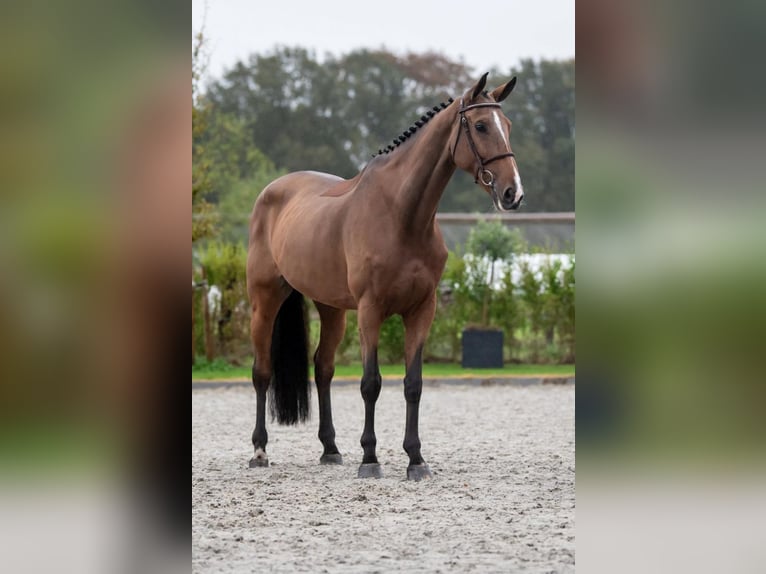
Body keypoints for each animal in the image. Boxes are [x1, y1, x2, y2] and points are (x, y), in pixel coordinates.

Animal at [249, 74, 524, 484]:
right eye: (480, 126)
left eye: (507, 126)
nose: (513, 193)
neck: (401, 215)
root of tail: (272, 190)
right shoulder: (370, 310)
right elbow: (371, 383)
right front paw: (370, 458)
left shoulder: (422, 310)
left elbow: (413, 384)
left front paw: (416, 459)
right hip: (264, 300)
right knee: (262, 371)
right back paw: (259, 451)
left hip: (331, 309)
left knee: (323, 368)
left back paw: (330, 449)